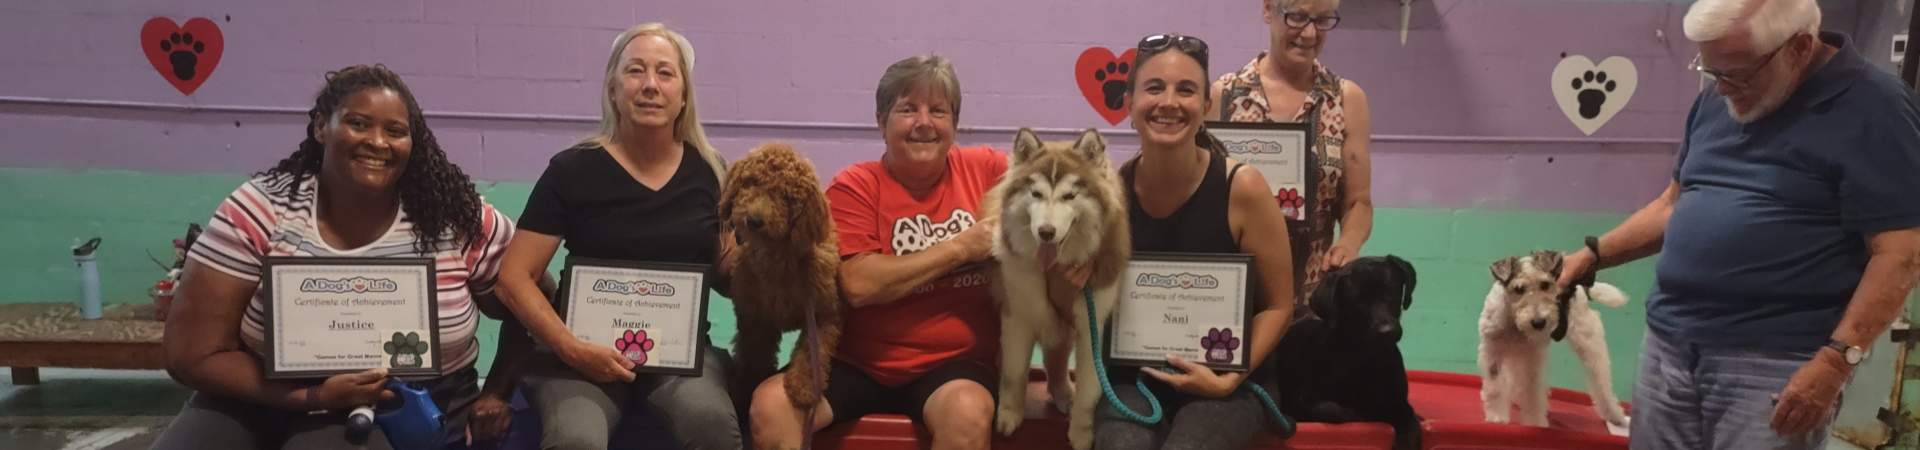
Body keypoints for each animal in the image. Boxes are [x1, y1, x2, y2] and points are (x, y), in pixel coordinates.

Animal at [721, 142, 840, 409]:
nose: (754, 220)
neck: (778, 258)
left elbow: (813, 351)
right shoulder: (755, 320)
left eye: (786, 196)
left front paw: (804, 387)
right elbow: (753, 357)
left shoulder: (823, 314)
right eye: (752, 182)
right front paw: (745, 387)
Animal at [990, 126, 1121, 450]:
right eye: (1035, 193)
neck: (1054, 268)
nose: (1046, 232)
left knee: (1058, 360)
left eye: (1070, 195)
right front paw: (1009, 415)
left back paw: (1063, 394)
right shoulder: (1017, 314)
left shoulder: (1092, 323)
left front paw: (1082, 433)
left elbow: (1090, 385)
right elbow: (1014, 372)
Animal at [1274, 255, 1428, 450]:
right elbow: (1330, 409)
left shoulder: (1398, 404)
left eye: (1393, 293)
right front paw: (1356, 414)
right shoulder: (1303, 400)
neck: (1362, 357)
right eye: (1358, 301)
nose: (1389, 332)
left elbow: (1410, 425)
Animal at [1474, 250, 1628, 428]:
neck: (1515, 323)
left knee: (1601, 381)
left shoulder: (1532, 358)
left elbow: (1532, 393)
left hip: (1589, 340)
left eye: (1545, 284)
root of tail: (1579, 287)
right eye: (1518, 289)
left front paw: (1535, 422)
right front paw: (1497, 418)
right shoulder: (1493, 351)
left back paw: (1615, 415)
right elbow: (1495, 388)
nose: (1538, 322)